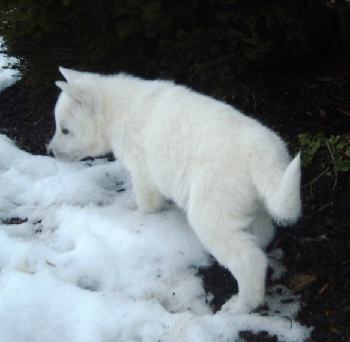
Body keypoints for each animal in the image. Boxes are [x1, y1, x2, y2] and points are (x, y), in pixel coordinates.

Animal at [47, 67, 302, 316]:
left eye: (65, 130)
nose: (49, 151)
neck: (118, 110)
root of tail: (261, 156)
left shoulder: (143, 174)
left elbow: (146, 204)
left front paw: (137, 216)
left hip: (210, 214)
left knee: (250, 260)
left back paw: (241, 306)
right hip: (253, 205)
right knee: (262, 236)